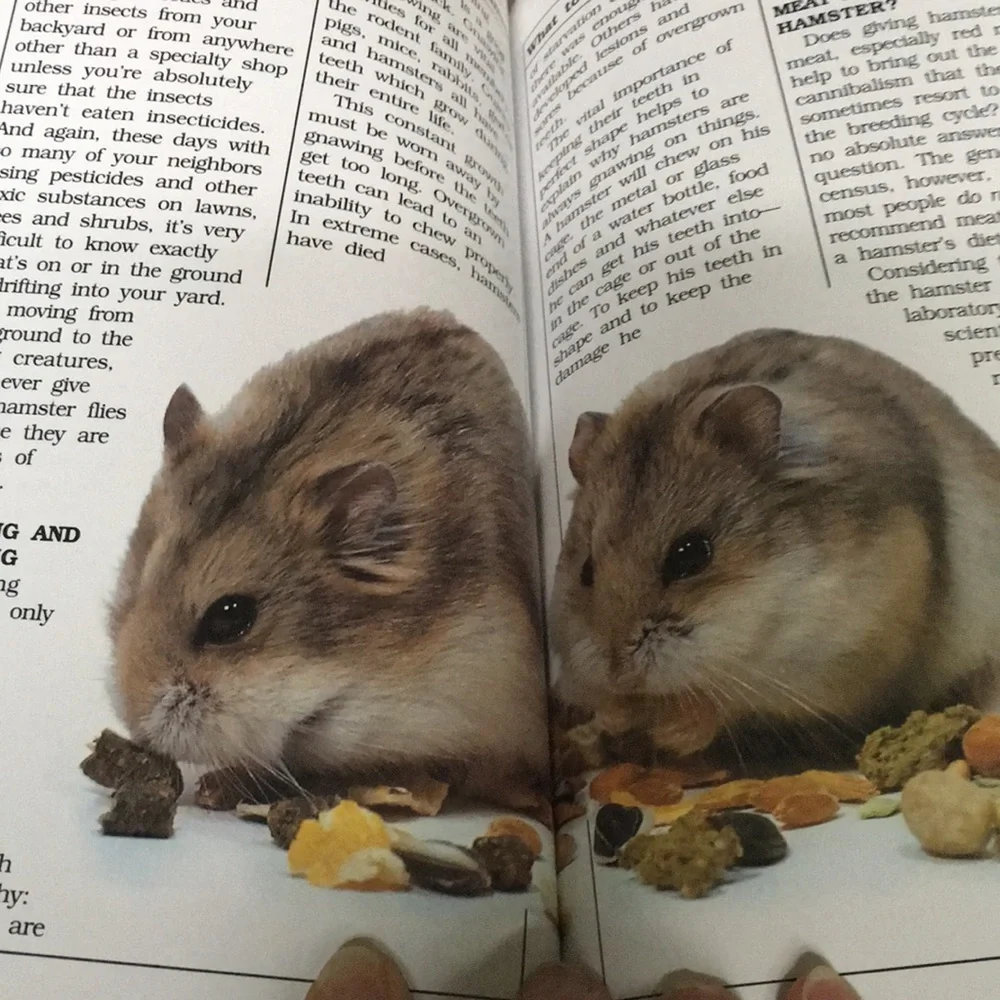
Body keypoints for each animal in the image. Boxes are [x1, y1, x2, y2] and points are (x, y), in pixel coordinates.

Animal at [551, 328, 1000, 760]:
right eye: (586, 570)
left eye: (692, 555)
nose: (619, 673)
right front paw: (613, 716)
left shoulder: (840, 654)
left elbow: (727, 705)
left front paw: (673, 735)